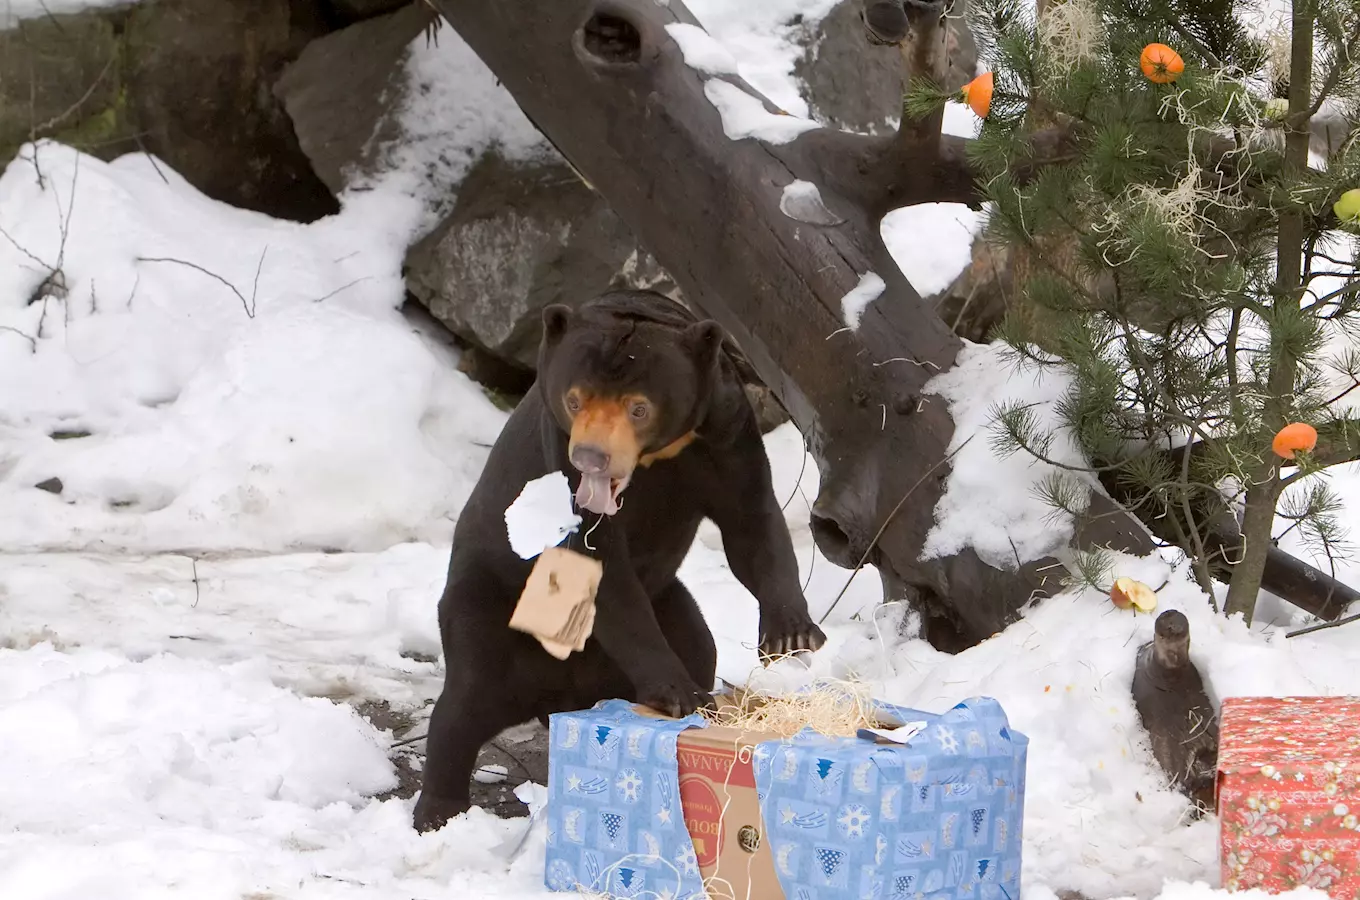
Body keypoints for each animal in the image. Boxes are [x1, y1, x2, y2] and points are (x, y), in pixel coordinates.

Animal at [408, 292, 821, 837]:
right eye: (574, 399)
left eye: (639, 407)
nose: (592, 457)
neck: (656, 457)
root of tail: (557, 696)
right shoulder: (557, 458)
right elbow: (599, 565)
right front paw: (681, 695)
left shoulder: (723, 432)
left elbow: (752, 522)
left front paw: (790, 635)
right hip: (486, 604)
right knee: (465, 702)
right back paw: (439, 813)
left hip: (668, 600)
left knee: (698, 641)